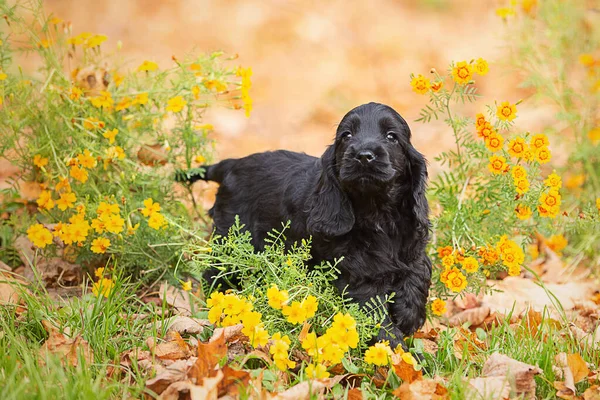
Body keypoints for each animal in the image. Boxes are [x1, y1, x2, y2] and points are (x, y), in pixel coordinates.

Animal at [183, 103, 432, 350]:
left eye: (392, 136)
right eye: (346, 135)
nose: (363, 156)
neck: (376, 212)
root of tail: (231, 164)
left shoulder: (412, 248)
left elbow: (418, 274)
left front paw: (408, 315)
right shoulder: (357, 275)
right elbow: (376, 315)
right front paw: (399, 351)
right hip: (230, 240)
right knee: (215, 274)